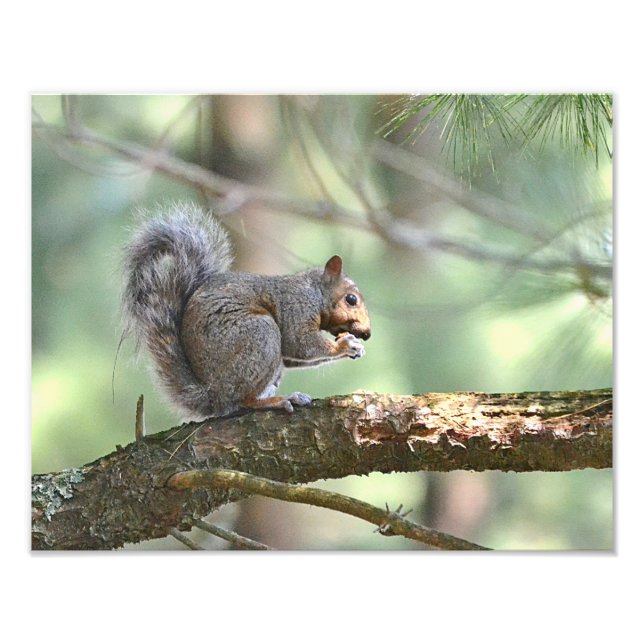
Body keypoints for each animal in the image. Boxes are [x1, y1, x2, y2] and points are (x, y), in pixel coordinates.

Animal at [121, 202, 371, 420]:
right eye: (351, 299)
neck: (315, 292)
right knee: (243, 401)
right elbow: (300, 343)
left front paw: (355, 348)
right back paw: (278, 401)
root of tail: (213, 395)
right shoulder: (296, 308)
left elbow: (293, 356)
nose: (367, 333)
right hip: (260, 335)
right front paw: (345, 345)